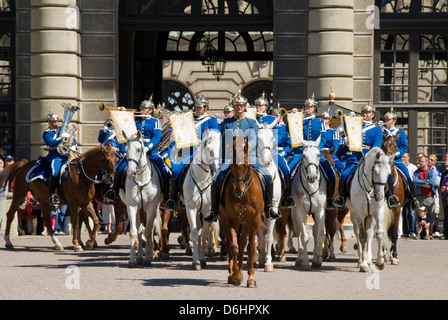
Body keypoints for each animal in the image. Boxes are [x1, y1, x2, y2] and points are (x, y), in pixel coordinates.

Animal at [121, 130, 163, 268]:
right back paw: (139, 257)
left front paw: (148, 258)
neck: (140, 180)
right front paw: (132, 260)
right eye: (126, 149)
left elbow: (149, 231)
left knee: (149, 229)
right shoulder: (132, 205)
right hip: (139, 209)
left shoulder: (151, 207)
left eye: (139, 149)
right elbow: (134, 231)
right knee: (139, 230)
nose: (130, 173)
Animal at [179, 128, 220, 270]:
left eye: (220, 148)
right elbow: (195, 234)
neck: (201, 179)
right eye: (208, 148)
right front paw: (195, 261)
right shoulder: (191, 208)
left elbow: (204, 234)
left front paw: (202, 259)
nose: (215, 168)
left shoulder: (207, 211)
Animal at [220, 138, 264, 288]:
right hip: (224, 220)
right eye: (232, 165)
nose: (239, 191)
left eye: (245, 165)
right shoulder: (231, 220)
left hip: (245, 223)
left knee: (243, 242)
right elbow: (234, 247)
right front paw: (235, 276)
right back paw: (232, 273)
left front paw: (251, 278)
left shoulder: (254, 220)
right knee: (230, 243)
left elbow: (250, 248)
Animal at [288, 137, 328, 268]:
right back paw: (300, 258)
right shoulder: (300, 211)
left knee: (314, 231)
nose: (312, 177)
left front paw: (317, 259)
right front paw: (305, 261)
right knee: (299, 230)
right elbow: (304, 236)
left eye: (318, 155)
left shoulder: (320, 211)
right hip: (294, 212)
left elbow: (319, 236)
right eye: (303, 155)